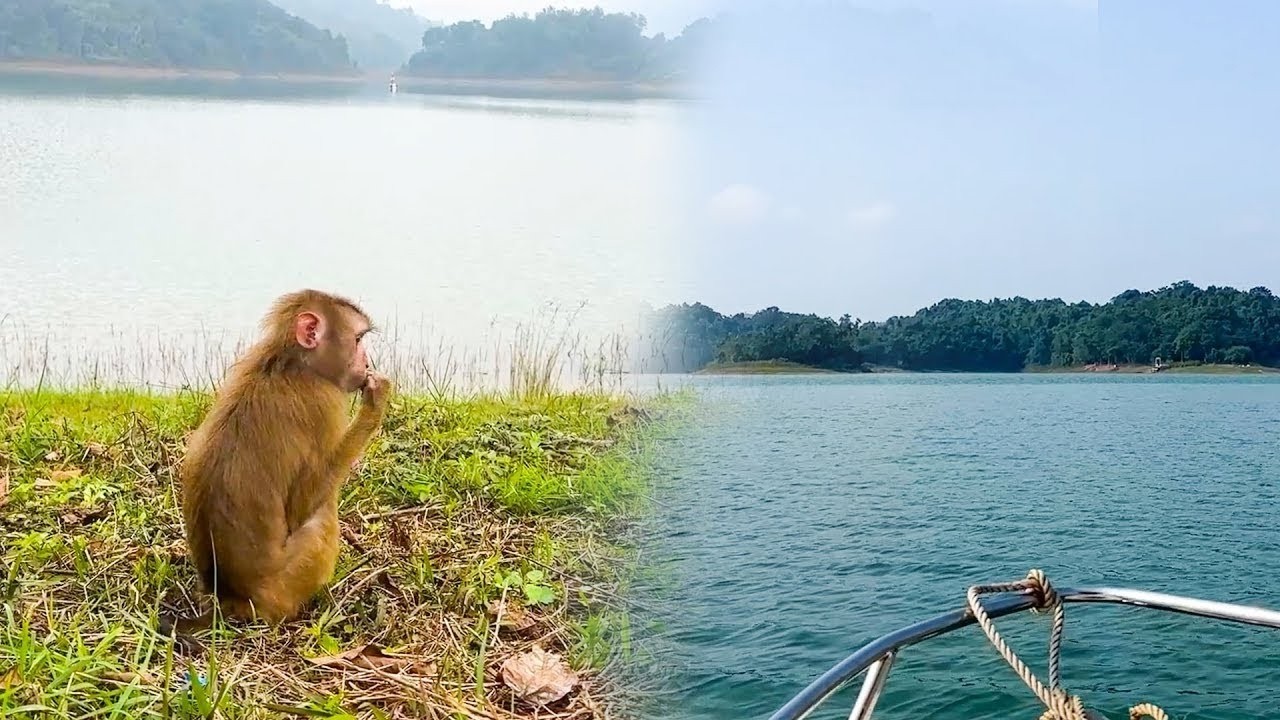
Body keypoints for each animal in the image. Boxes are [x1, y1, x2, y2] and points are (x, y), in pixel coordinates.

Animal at [161, 289, 393, 636]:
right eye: (357, 340)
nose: (366, 362)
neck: (290, 362)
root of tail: (231, 598)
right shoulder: (324, 403)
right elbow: (302, 505)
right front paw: (375, 404)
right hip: (285, 586)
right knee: (321, 518)